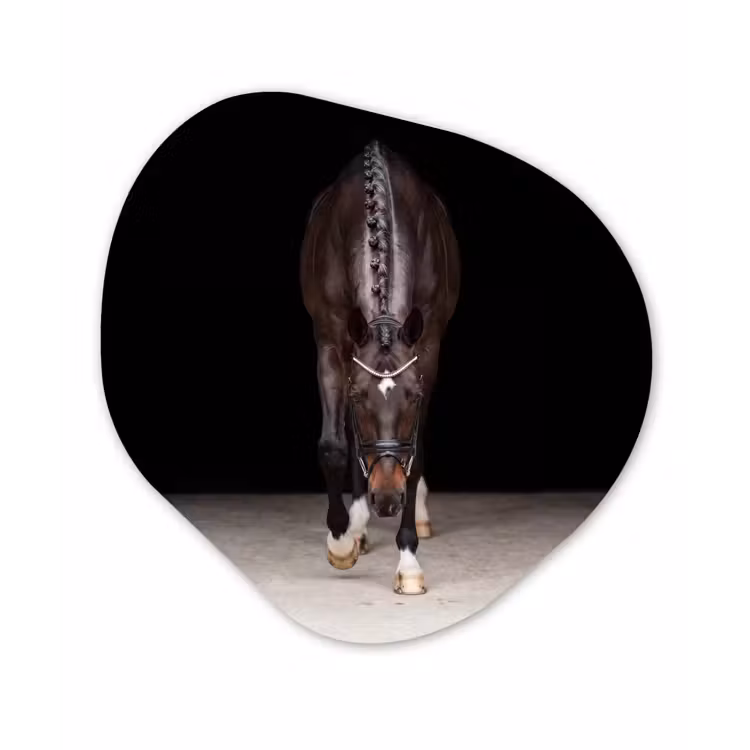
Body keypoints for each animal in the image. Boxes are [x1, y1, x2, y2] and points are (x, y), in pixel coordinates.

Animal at [300, 140, 460, 594]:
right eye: (358, 397)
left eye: (414, 397)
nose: (387, 499)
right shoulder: (331, 343)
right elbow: (334, 446)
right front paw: (341, 541)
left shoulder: (428, 349)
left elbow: (414, 455)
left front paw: (408, 562)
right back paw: (357, 526)